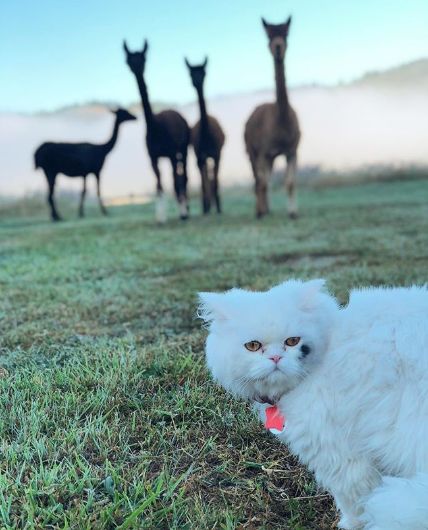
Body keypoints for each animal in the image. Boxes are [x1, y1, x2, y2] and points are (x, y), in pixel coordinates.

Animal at [199, 278, 428, 524]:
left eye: (292, 341)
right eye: (253, 346)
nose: (276, 358)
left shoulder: (340, 457)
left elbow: (355, 504)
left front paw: (352, 524)